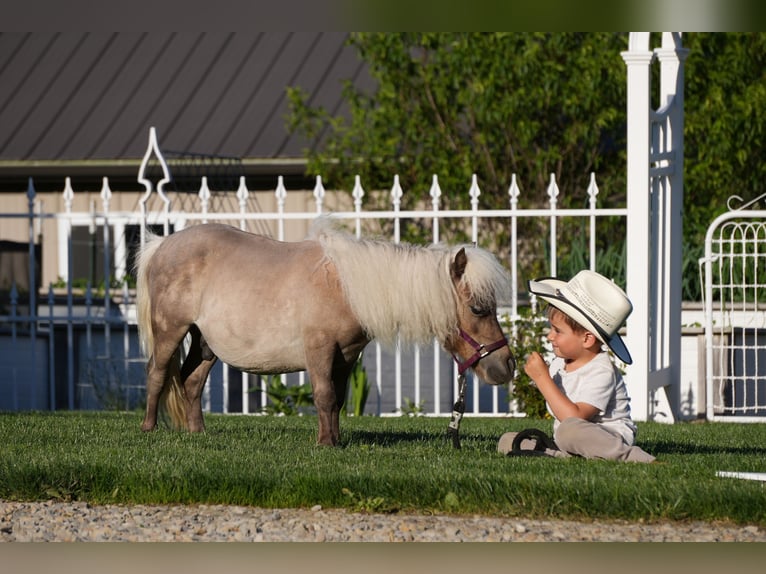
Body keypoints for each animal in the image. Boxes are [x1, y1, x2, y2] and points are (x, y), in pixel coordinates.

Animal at [135, 220, 516, 446]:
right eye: (478, 309)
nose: (507, 366)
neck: (347, 289)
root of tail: (162, 244)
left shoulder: (346, 356)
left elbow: (338, 399)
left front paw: (335, 440)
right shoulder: (319, 349)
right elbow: (323, 396)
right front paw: (324, 443)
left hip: (205, 343)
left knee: (191, 381)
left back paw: (198, 434)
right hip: (171, 331)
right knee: (156, 374)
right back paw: (148, 429)